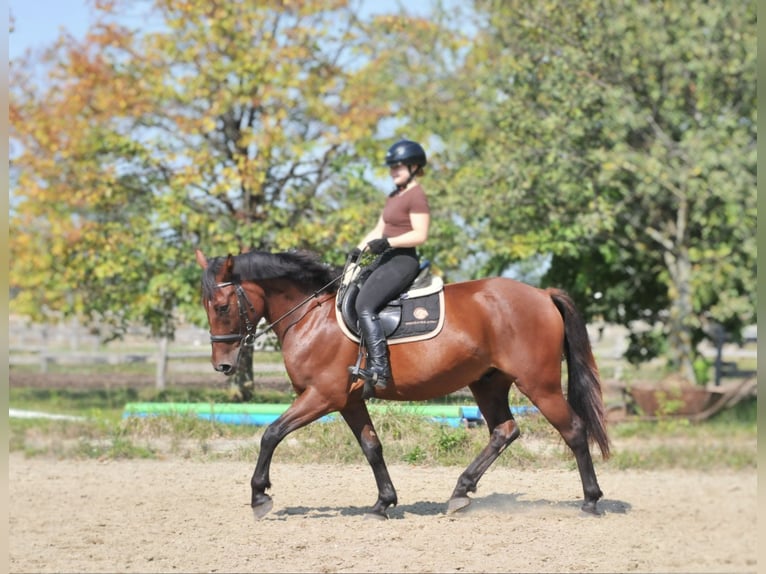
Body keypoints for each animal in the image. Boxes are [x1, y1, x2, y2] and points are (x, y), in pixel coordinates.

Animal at [196, 249, 612, 520]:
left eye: (221, 306)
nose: (223, 365)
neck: (312, 317)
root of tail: (542, 294)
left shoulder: (322, 396)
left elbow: (271, 433)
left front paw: (259, 496)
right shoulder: (347, 401)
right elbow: (371, 447)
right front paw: (384, 502)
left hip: (539, 384)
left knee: (574, 430)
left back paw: (591, 501)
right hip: (488, 383)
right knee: (504, 431)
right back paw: (460, 492)